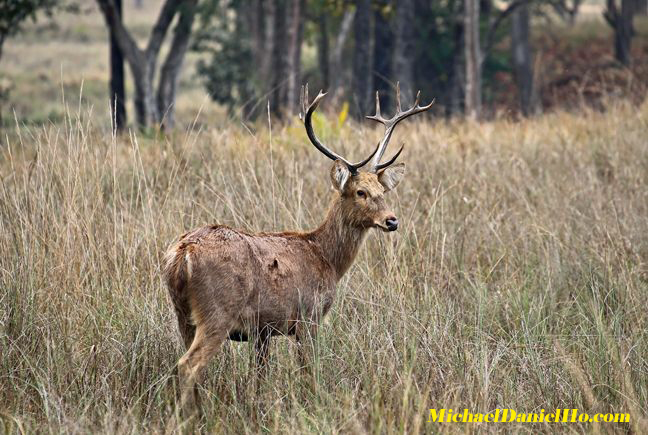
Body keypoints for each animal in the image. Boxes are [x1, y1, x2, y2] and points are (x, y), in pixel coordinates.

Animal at [163, 82, 430, 412]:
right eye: (360, 192)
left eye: (382, 190)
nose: (392, 220)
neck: (326, 257)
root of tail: (183, 252)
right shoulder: (308, 316)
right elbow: (308, 371)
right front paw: (313, 403)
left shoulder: (262, 330)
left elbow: (260, 375)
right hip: (218, 310)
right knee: (188, 364)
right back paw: (190, 415)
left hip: (182, 313)